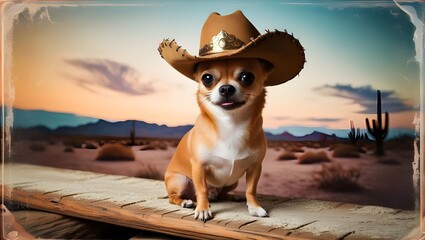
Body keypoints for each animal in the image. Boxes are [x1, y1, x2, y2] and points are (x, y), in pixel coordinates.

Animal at [162, 57, 272, 221]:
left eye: (247, 77)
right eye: (207, 78)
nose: (226, 88)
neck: (232, 125)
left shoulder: (255, 167)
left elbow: (251, 189)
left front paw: (254, 207)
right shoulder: (199, 167)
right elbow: (202, 190)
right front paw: (203, 210)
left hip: (232, 182)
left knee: (222, 195)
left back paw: (234, 197)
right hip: (180, 180)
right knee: (174, 197)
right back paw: (186, 202)